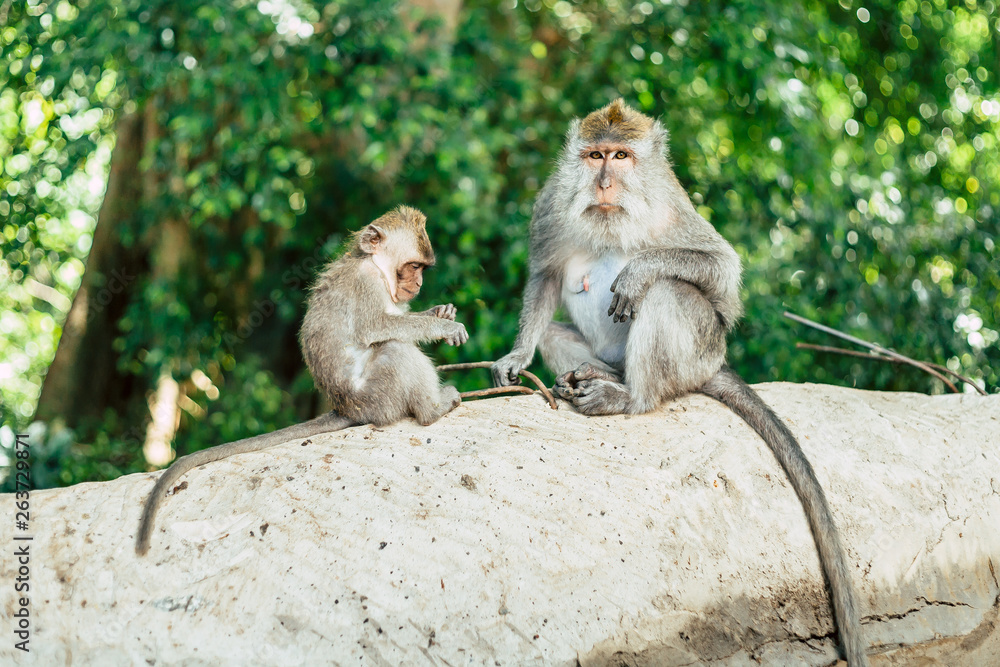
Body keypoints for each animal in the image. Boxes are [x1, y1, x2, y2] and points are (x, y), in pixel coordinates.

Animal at [137, 206, 468, 556]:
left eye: (423, 269)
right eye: (414, 266)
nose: (418, 282)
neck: (374, 265)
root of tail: (346, 409)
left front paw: (441, 312)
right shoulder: (365, 282)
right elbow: (378, 327)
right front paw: (444, 326)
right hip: (379, 395)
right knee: (395, 348)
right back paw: (433, 409)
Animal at [492, 100, 868, 667]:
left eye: (621, 156)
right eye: (594, 155)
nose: (604, 182)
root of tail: (713, 364)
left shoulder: (671, 205)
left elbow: (721, 272)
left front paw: (639, 271)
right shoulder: (552, 204)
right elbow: (545, 276)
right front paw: (517, 355)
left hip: (699, 352)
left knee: (668, 292)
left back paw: (630, 397)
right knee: (559, 333)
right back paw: (600, 375)